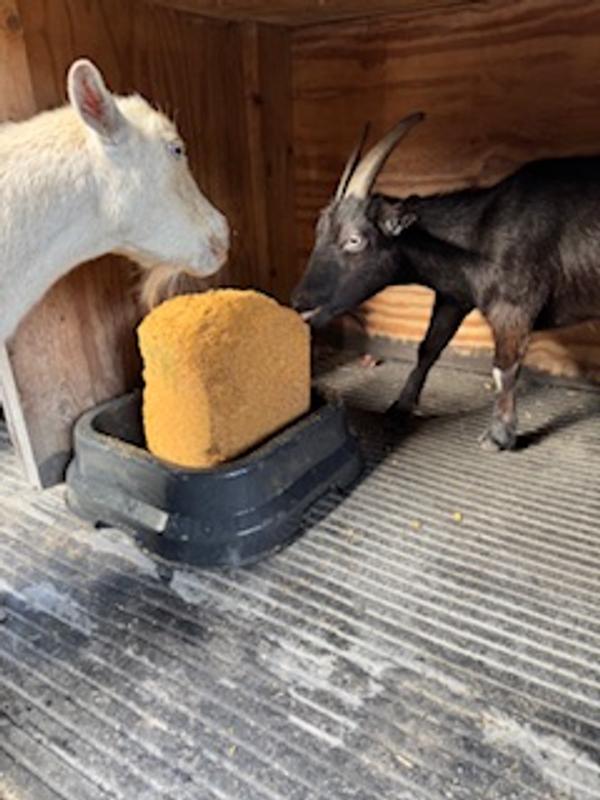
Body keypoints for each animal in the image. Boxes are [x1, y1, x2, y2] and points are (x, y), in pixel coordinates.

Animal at [292, 113, 600, 450]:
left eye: (354, 240)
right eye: (319, 232)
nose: (300, 302)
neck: (480, 231)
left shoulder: (514, 306)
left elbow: (504, 368)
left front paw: (499, 435)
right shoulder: (454, 297)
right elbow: (428, 348)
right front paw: (399, 407)